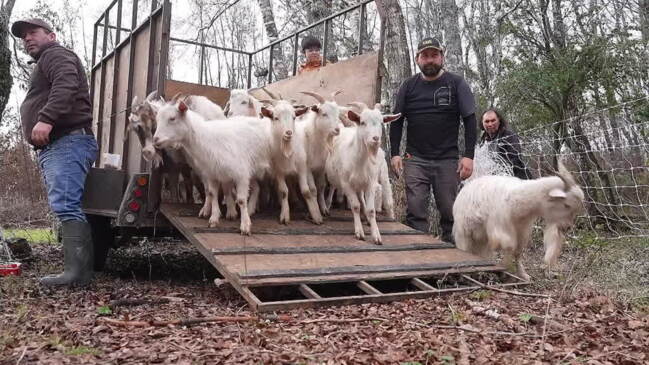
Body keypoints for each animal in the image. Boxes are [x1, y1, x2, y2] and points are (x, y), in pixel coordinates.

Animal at [153, 98, 270, 233]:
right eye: (157, 119)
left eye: (172, 118)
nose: (155, 139)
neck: (207, 139)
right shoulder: (212, 173)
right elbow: (212, 193)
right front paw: (214, 219)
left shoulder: (241, 174)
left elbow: (241, 200)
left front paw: (245, 226)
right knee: (256, 187)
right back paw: (250, 210)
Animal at [324, 102, 400, 245]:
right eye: (363, 122)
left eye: (381, 122)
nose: (375, 138)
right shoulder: (346, 183)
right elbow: (355, 206)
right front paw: (359, 232)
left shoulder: (370, 183)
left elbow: (371, 210)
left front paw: (376, 235)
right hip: (336, 177)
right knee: (332, 187)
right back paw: (328, 204)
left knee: (361, 197)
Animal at [454, 162, 584, 278]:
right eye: (567, 205)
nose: (567, 227)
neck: (517, 200)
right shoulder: (499, 227)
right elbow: (510, 246)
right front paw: (505, 266)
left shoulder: (522, 230)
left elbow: (518, 251)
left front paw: (523, 274)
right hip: (464, 234)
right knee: (464, 249)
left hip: (482, 239)